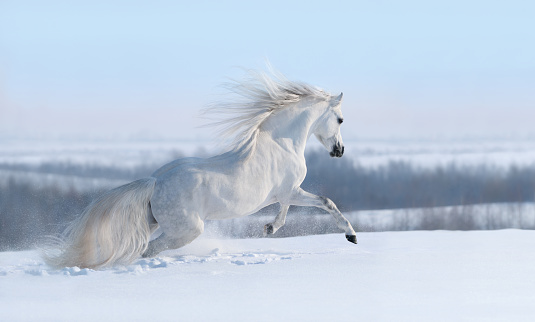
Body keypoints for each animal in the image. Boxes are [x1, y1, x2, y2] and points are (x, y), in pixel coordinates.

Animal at [44, 68, 358, 270]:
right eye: (340, 119)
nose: (339, 151)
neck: (281, 143)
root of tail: (155, 182)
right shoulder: (291, 190)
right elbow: (325, 202)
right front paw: (351, 235)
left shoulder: (284, 194)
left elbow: (289, 211)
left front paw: (269, 228)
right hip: (187, 230)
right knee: (149, 250)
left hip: (155, 222)